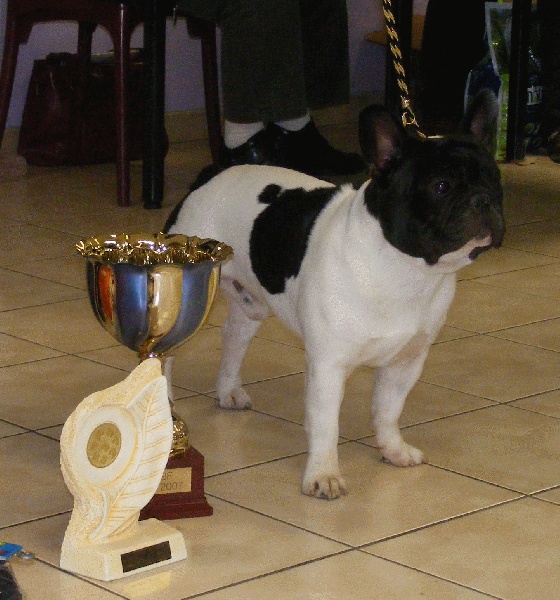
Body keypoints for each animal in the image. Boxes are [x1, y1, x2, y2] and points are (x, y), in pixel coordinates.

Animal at [164, 91, 505, 500]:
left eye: (495, 180)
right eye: (441, 187)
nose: (483, 199)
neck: (405, 268)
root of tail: (208, 177)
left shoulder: (406, 362)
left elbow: (388, 410)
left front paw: (392, 449)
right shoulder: (329, 365)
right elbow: (327, 424)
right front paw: (323, 474)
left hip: (251, 306)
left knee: (233, 336)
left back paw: (228, 391)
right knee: (166, 355)